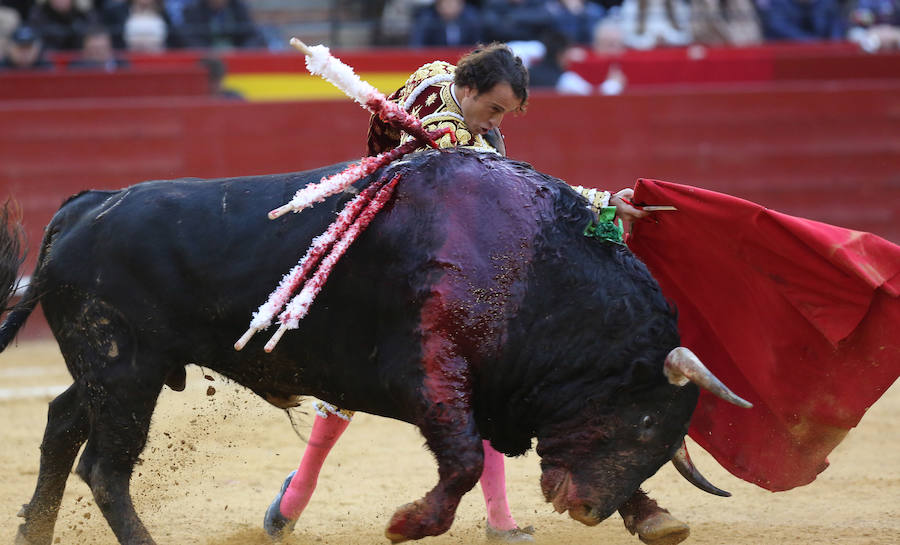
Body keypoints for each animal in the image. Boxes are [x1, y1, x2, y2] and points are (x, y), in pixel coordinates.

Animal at [0, 149, 744, 544]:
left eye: (664, 438)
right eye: (642, 421)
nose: (585, 509)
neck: (534, 263)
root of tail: (86, 205)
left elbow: (479, 457)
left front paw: (652, 516)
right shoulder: (433, 373)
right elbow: (463, 458)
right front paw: (408, 521)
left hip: (112, 368)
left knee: (62, 423)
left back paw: (35, 528)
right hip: (124, 369)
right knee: (106, 467)